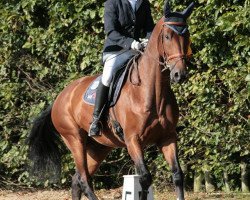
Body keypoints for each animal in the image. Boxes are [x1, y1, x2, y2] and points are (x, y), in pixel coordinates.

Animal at [27, 1, 195, 200]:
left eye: (187, 36)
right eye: (168, 36)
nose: (179, 74)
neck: (152, 93)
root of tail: (60, 97)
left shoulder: (167, 136)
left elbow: (177, 175)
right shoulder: (133, 140)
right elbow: (145, 178)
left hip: (98, 148)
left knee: (77, 179)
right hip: (74, 139)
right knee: (83, 179)